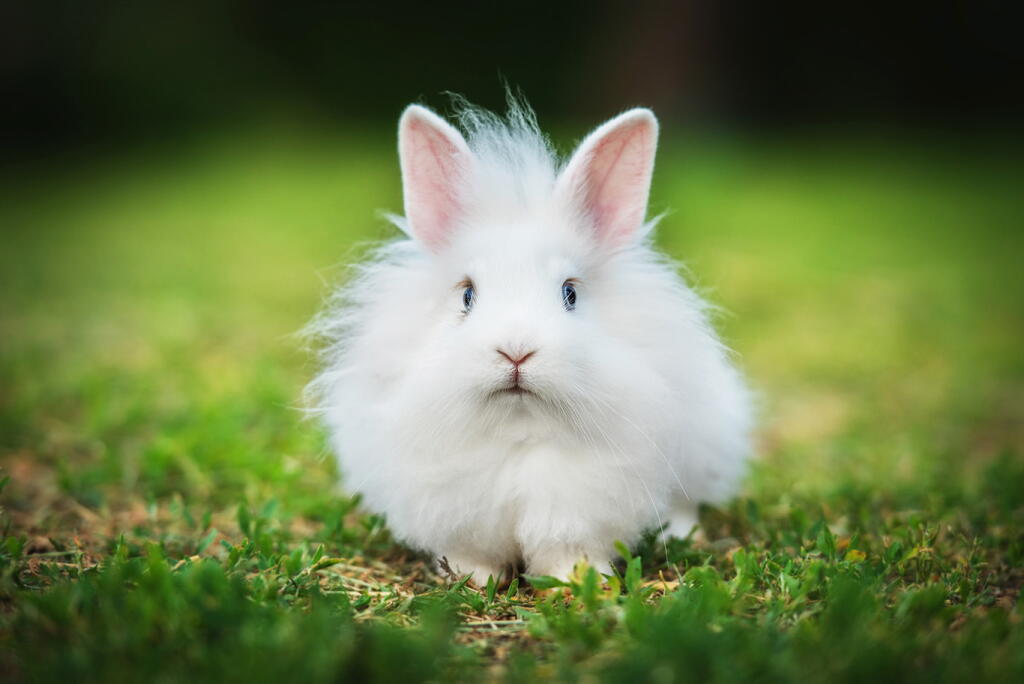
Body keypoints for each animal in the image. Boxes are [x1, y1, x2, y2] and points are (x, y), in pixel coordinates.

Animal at [307, 95, 753, 584]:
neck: (519, 429)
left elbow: (569, 550)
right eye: (467, 294)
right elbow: (470, 553)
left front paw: (578, 581)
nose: (516, 351)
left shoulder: (579, 508)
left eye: (570, 293)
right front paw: (473, 580)